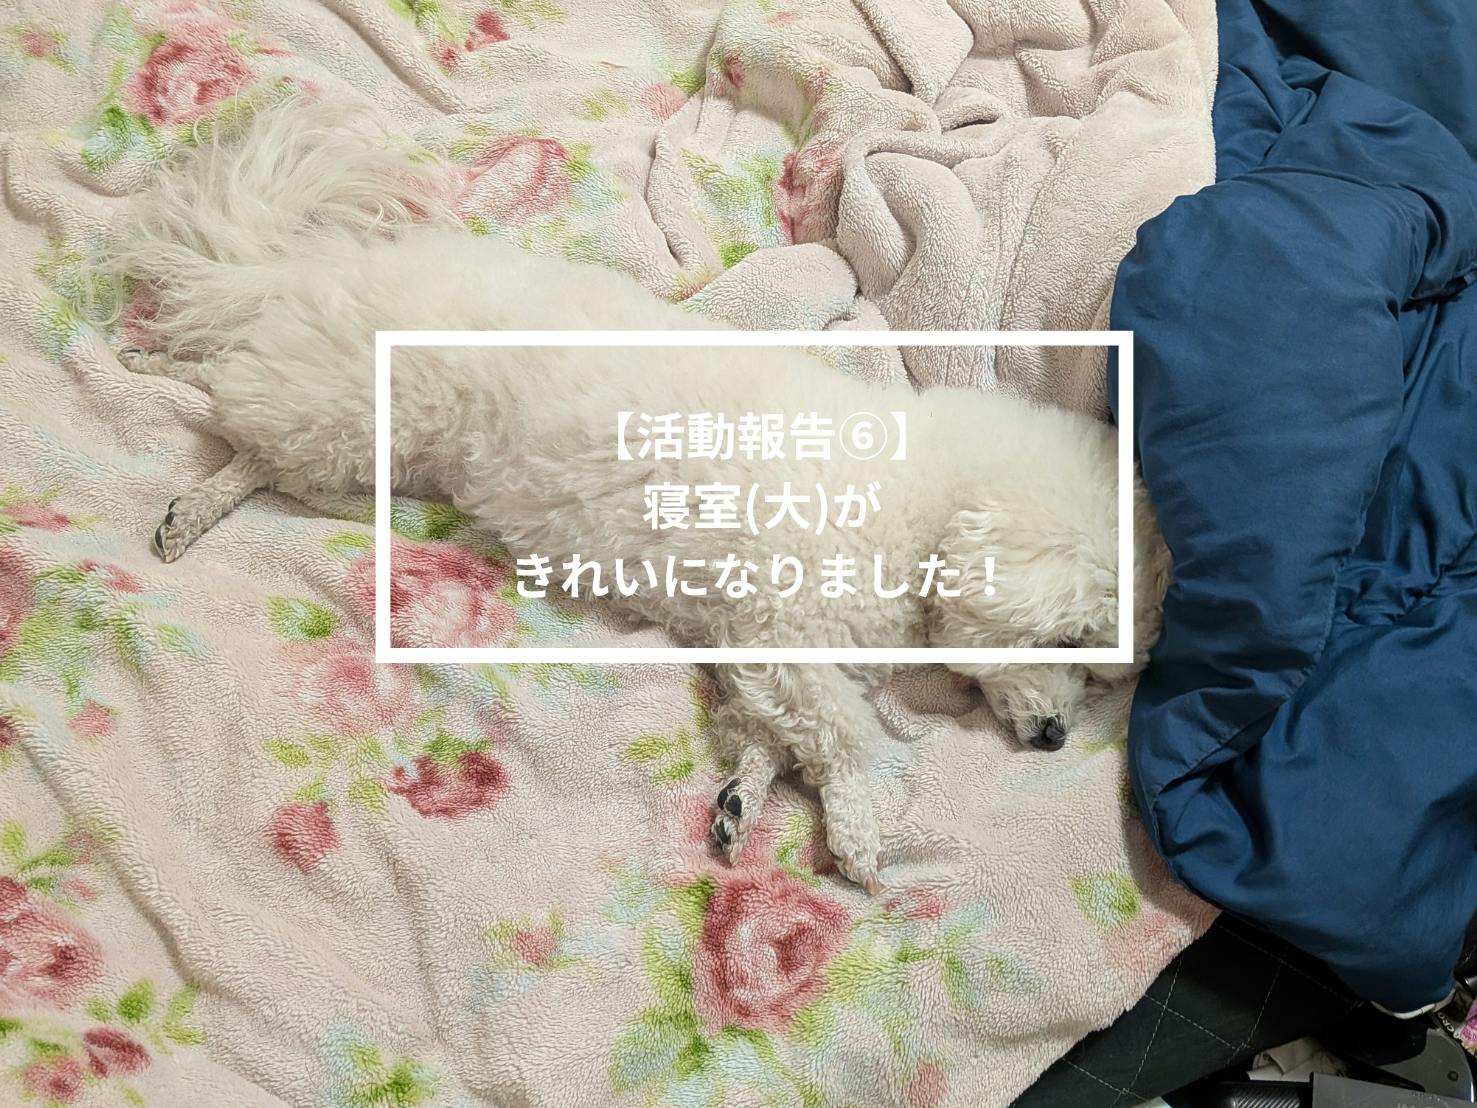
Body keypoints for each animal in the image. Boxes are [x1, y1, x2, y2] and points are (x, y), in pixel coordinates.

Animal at [104, 99, 1171, 892]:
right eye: (1067, 646)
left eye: (1100, 677)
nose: (1051, 739)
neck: (924, 515)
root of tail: (327, 263)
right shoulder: (788, 625)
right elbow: (849, 737)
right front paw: (865, 833)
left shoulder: (756, 649)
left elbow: (771, 734)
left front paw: (743, 799)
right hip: (346, 414)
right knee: (229, 403)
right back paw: (159, 417)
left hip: (359, 446)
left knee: (253, 427)